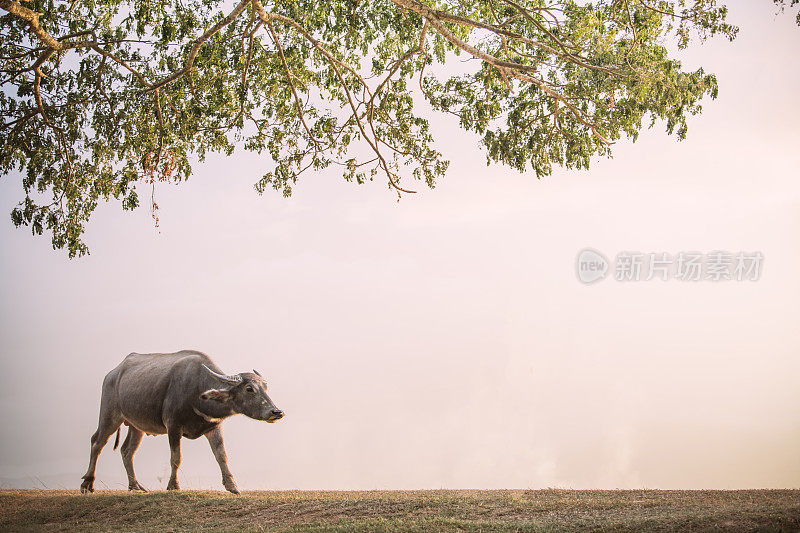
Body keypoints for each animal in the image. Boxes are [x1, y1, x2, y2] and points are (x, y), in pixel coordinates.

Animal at [80, 350, 284, 494]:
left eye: (265, 387)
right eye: (249, 389)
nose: (276, 412)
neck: (198, 392)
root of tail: (113, 374)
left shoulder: (214, 427)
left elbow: (222, 456)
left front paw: (232, 486)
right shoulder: (173, 426)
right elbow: (176, 457)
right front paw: (173, 486)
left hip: (136, 425)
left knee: (127, 451)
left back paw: (135, 486)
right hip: (110, 414)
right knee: (97, 442)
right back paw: (87, 484)